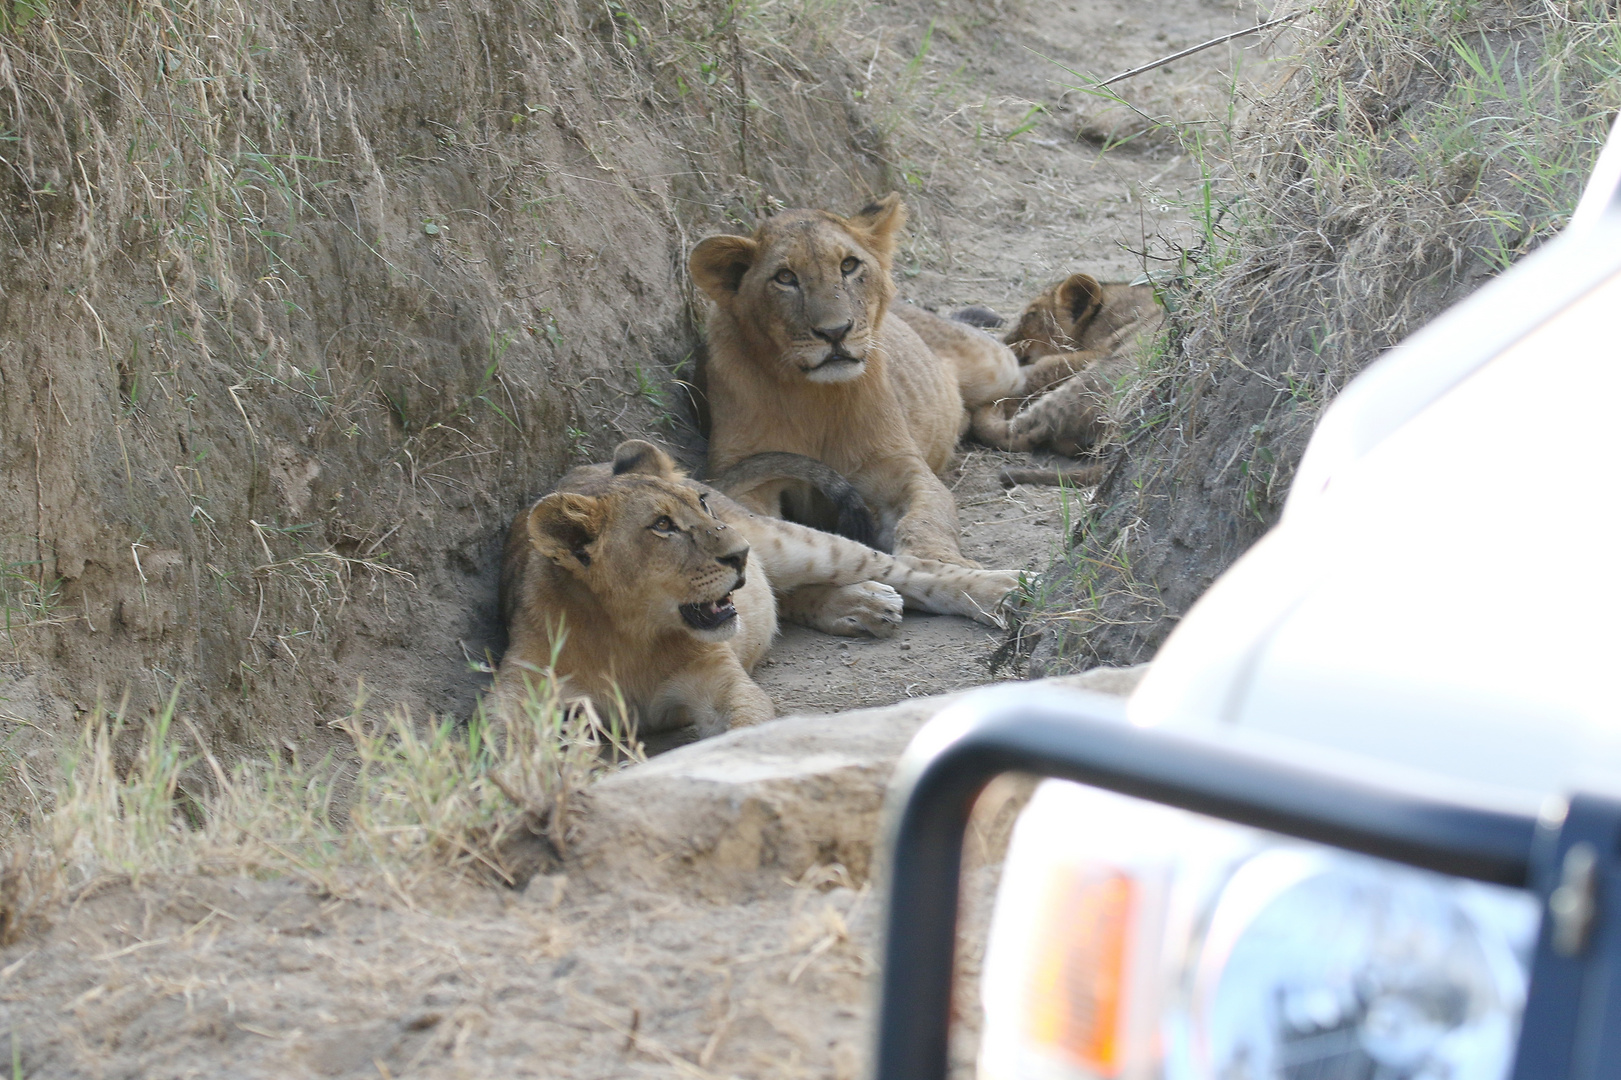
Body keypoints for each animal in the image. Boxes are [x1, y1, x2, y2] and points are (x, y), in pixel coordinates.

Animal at [499, 441, 1017, 736]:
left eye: (701, 506)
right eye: (662, 526)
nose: (740, 554)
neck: (630, 637)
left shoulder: (721, 684)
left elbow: (742, 731)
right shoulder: (520, 694)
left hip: (792, 543)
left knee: (905, 566)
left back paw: (1006, 589)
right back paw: (866, 605)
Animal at [687, 193, 1017, 567]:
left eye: (848, 265)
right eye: (785, 277)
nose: (835, 332)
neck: (815, 396)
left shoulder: (899, 466)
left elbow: (928, 518)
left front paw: (939, 560)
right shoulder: (744, 475)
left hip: (998, 367)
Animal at [966, 270, 1160, 486]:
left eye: (1029, 316)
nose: (1003, 342)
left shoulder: (1096, 354)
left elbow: (1041, 370)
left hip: (1100, 375)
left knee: (1016, 431)